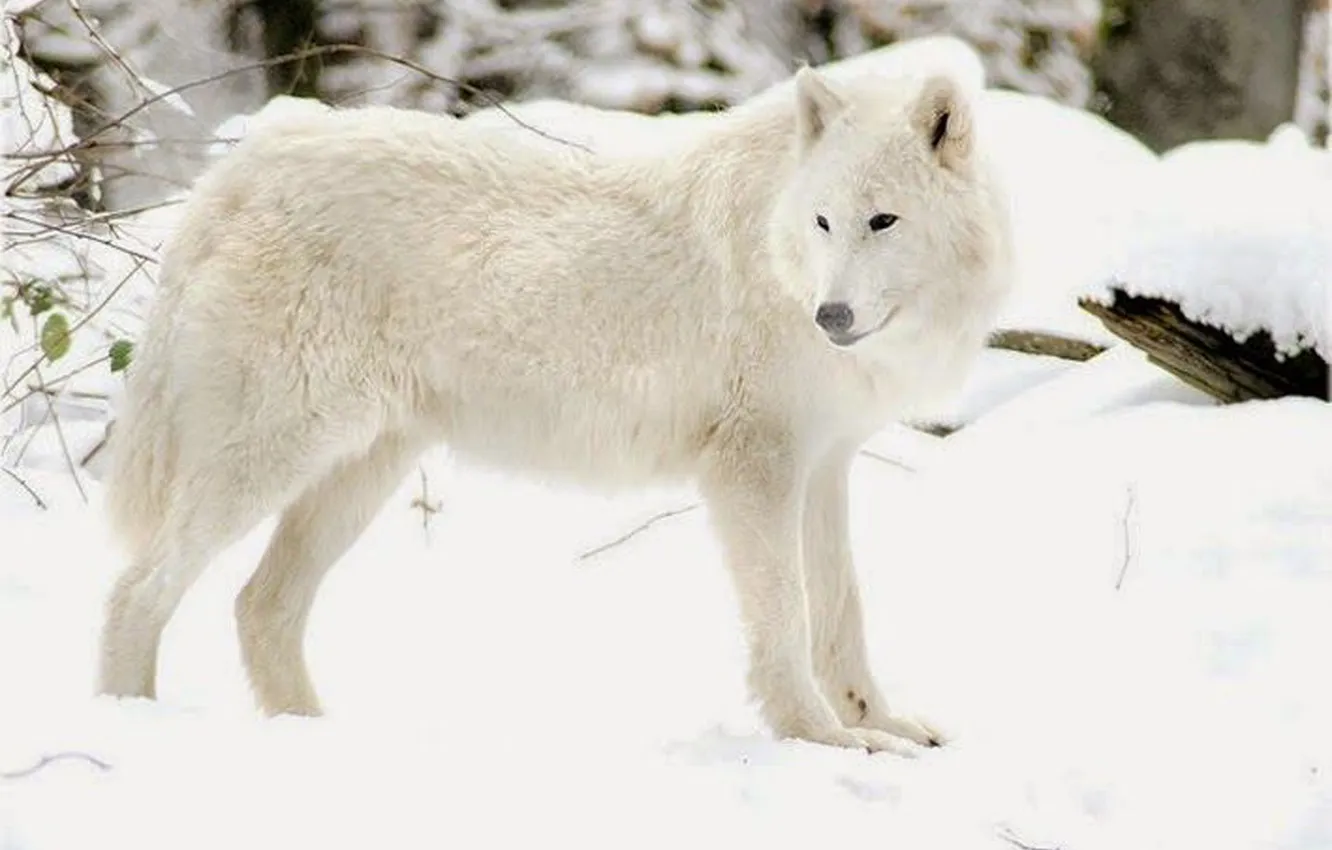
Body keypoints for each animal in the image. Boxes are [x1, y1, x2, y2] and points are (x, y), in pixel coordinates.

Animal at [96, 64, 1014, 754]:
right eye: (824, 222)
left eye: (882, 221)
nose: (830, 316)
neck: (777, 250)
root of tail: (245, 162)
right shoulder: (755, 470)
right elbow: (786, 621)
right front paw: (820, 739)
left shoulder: (824, 466)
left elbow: (843, 613)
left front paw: (879, 725)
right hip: (269, 462)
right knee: (137, 589)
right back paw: (125, 720)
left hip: (360, 474)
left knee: (261, 606)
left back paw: (311, 735)